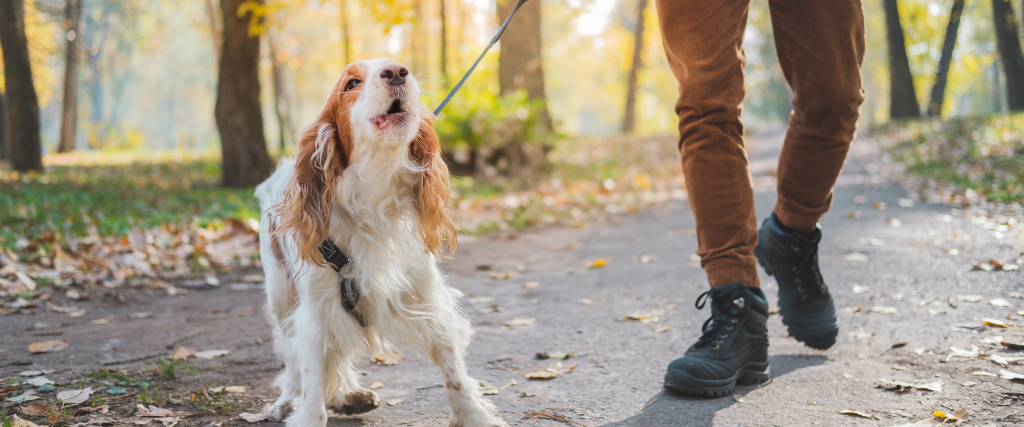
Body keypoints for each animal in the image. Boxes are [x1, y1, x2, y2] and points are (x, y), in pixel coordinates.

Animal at [254, 59, 507, 425]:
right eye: (352, 83)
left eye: (402, 67)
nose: (397, 72)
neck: (374, 194)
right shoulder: (316, 313)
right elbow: (312, 381)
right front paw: (307, 412)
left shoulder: (427, 297)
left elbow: (454, 371)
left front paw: (474, 415)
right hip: (281, 296)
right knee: (291, 357)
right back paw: (290, 400)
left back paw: (348, 395)